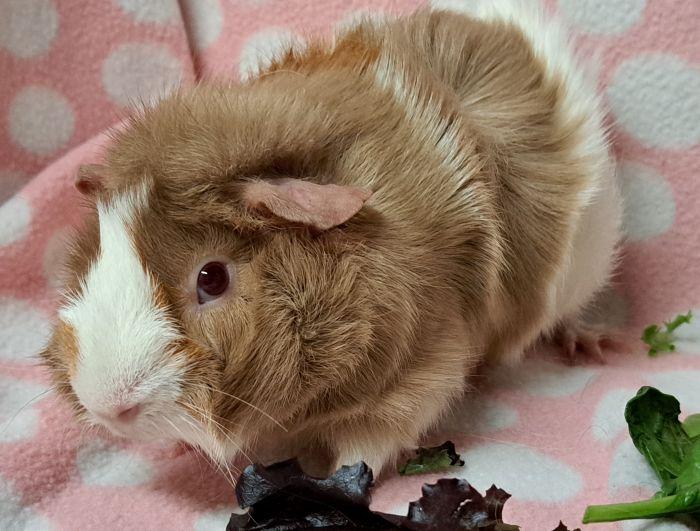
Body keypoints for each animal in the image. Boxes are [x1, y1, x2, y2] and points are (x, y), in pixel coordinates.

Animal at [40, 1, 622, 476]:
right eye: (97, 260)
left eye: (212, 277)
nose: (105, 406)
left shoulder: (420, 376)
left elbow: (366, 446)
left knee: (570, 314)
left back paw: (594, 346)